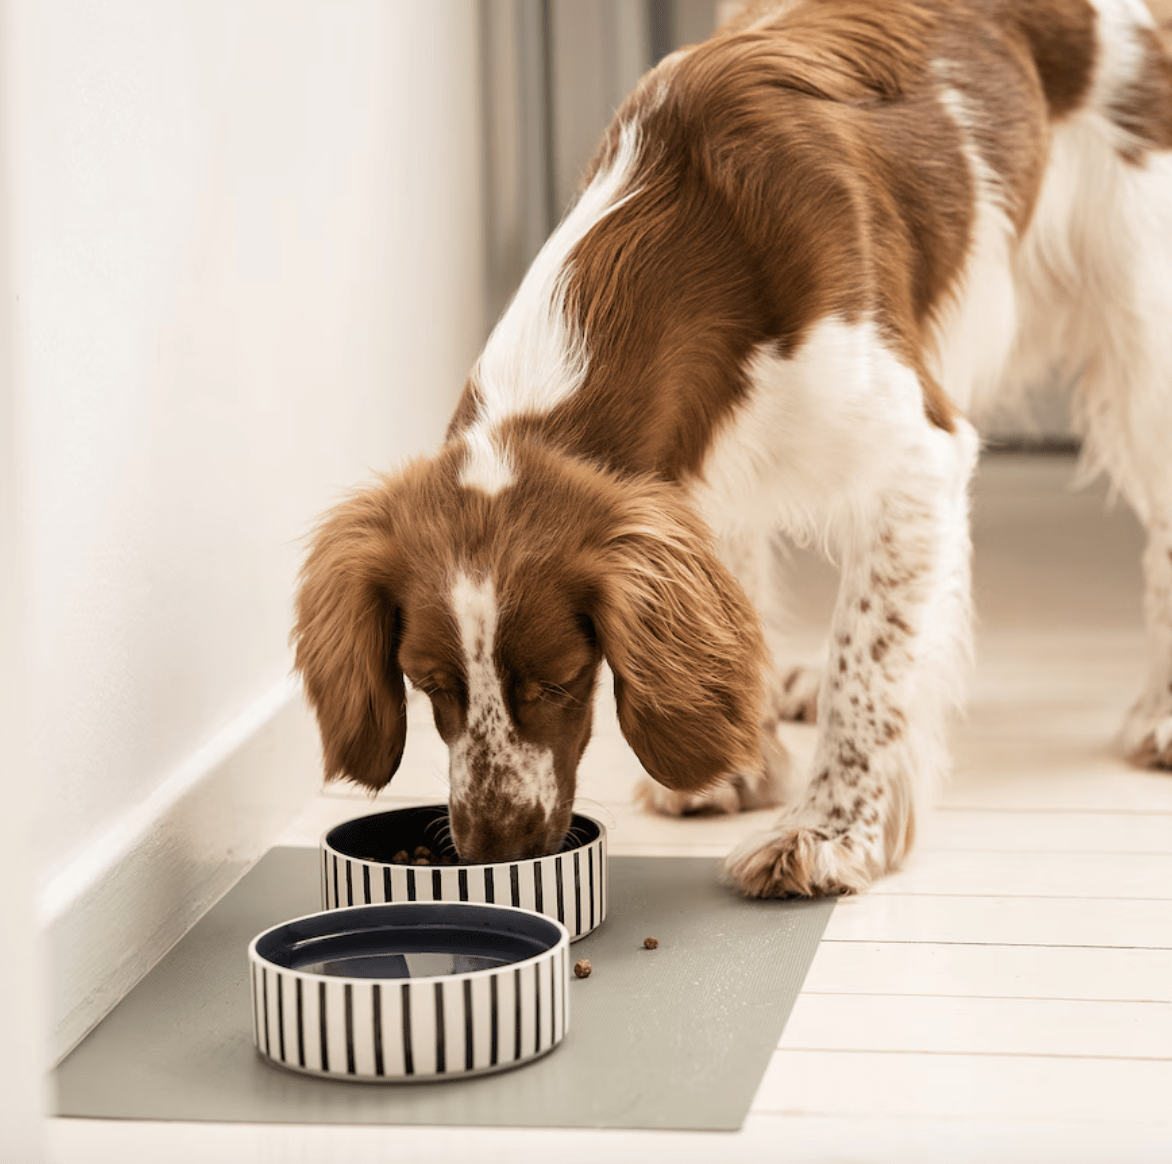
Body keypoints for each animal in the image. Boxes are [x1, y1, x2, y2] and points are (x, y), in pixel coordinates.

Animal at [290, 0, 1172, 900]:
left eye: (560, 679)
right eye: (429, 683)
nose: (496, 850)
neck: (704, 234)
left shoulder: (915, 458)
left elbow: (869, 660)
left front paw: (827, 834)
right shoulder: (695, 483)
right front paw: (738, 768)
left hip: (1142, 353)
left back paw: (1162, 717)